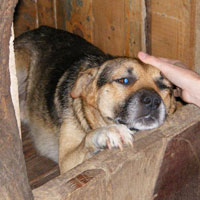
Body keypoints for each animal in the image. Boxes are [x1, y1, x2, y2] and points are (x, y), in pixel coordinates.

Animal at [14, 26, 175, 173]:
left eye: (163, 86)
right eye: (124, 80)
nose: (153, 101)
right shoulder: (66, 161)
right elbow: (88, 138)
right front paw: (108, 132)